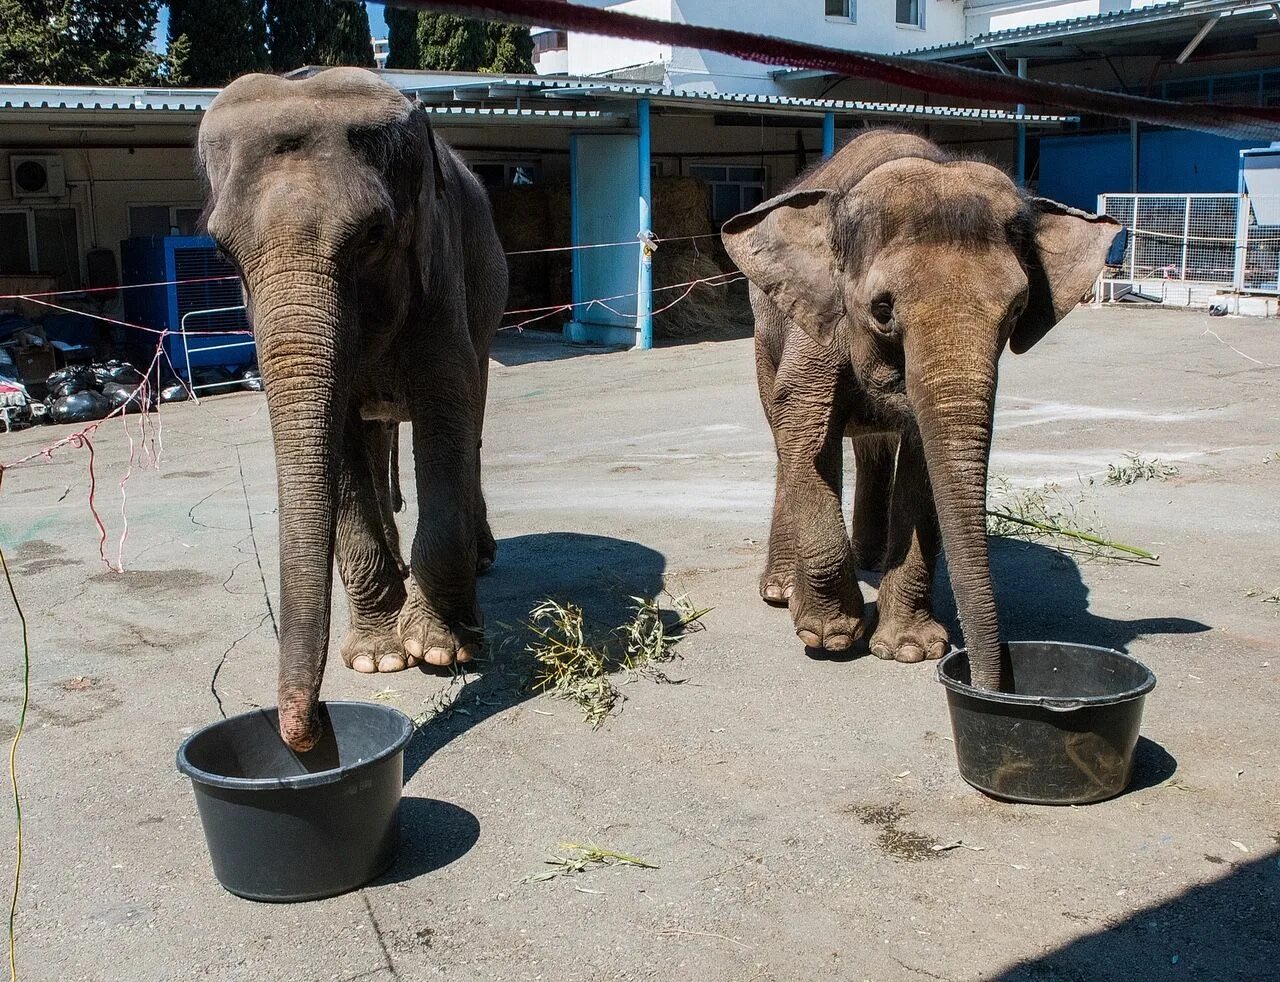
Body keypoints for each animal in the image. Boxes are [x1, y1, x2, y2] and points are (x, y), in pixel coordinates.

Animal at [197, 69, 506, 752]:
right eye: (222, 252)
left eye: (371, 236)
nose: (304, 732)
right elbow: (336, 443)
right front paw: (377, 658)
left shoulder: (440, 278)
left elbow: (447, 416)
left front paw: (442, 651)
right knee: (372, 433)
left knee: (471, 425)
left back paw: (482, 561)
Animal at [727, 130, 1126, 696]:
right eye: (882, 309)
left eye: (1016, 311)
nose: (987, 685)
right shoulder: (817, 327)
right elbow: (801, 422)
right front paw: (830, 637)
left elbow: (923, 465)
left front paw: (910, 650)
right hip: (765, 330)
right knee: (787, 441)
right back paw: (782, 591)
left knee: (873, 444)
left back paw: (871, 559)